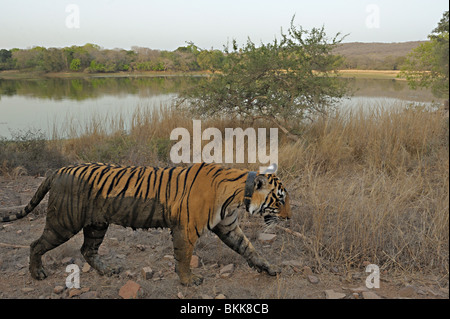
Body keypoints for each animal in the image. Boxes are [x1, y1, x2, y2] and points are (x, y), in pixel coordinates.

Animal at [0, 164, 290, 286]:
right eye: (281, 199)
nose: (289, 218)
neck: (238, 195)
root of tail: (58, 170)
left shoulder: (228, 226)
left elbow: (249, 248)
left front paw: (269, 268)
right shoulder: (185, 229)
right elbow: (184, 257)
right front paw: (189, 281)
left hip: (97, 224)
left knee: (87, 250)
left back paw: (109, 271)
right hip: (63, 222)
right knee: (36, 244)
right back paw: (37, 273)